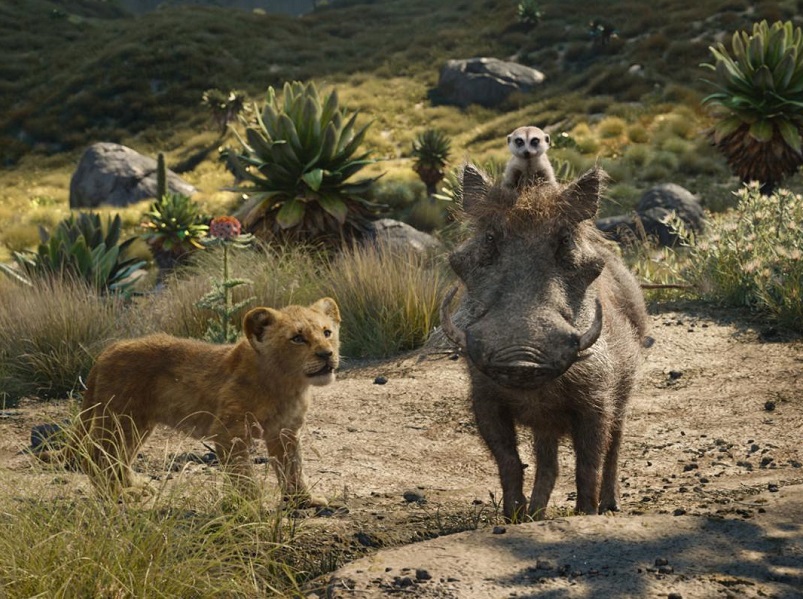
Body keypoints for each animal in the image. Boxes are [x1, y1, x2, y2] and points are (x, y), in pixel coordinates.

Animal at [57, 298, 340, 506]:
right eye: (297, 338)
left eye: (327, 332)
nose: (327, 354)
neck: (288, 384)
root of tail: (107, 351)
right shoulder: (229, 432)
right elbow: (242, 474)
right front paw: (250, 506)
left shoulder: (285, 432)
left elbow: (293, 467)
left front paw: (303, 500)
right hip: (120, 418)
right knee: (97, 456)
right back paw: (121, 494)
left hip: (136, 423)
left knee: (119, 457)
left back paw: (135, 485)